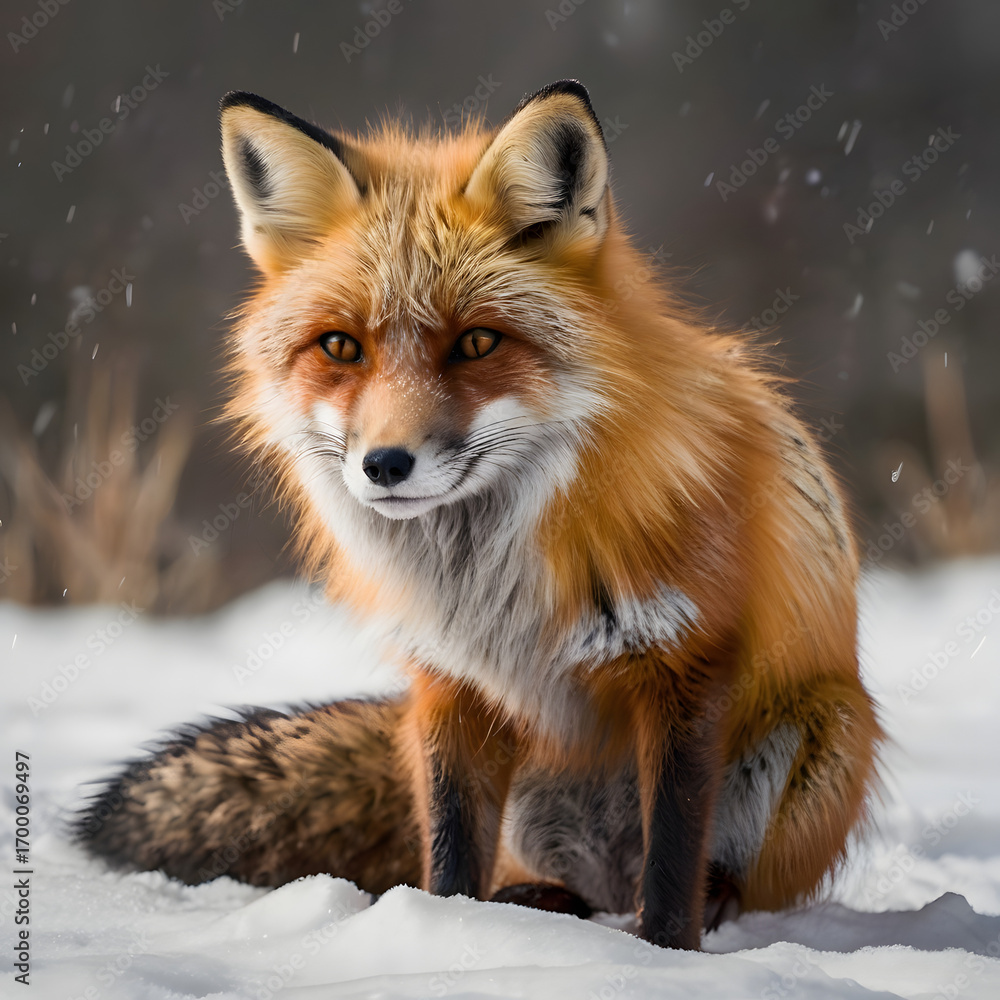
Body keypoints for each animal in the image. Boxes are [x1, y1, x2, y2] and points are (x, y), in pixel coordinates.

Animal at [77, 80, 883, 949]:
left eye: (476, 343)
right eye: (340, 347)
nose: (385, 465)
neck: (483, 577)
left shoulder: (687, 661)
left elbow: (672, 855)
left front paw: (666, 953)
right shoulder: (450, 683)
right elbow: (451, 846)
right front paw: (447, 933)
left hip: (823, 729)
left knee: (703, 871)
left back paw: (707, 907)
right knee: (546, 879)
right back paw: (537, 904)